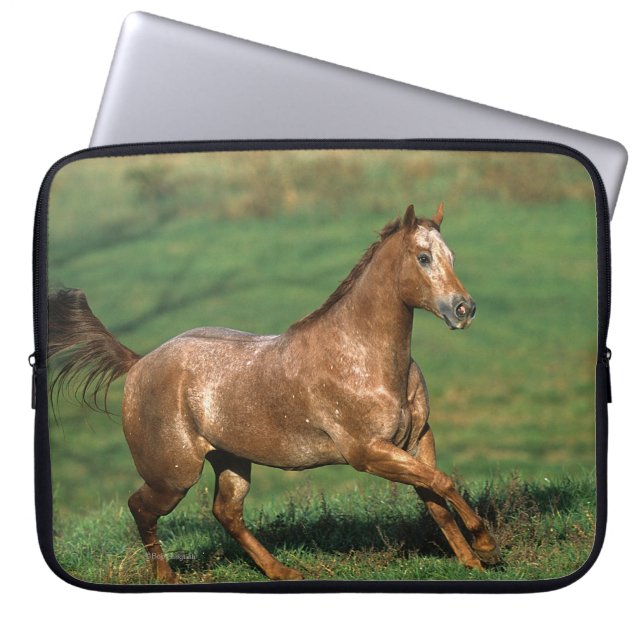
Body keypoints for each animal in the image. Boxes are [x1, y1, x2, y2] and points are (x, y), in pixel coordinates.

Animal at [48, 203, 501, 582]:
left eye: (451, 256)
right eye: (423, 257)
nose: (464, 309)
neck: (361, 355)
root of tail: (139, 362)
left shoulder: (417, 439)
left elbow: (436, 496)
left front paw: (473, 560)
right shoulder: (368, 453)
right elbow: (442, 484)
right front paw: (487, 546)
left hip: (230, 460)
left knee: (226, 513)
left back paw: (282, 571)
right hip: (173, 475)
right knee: (141, 508)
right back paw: (167, 578)